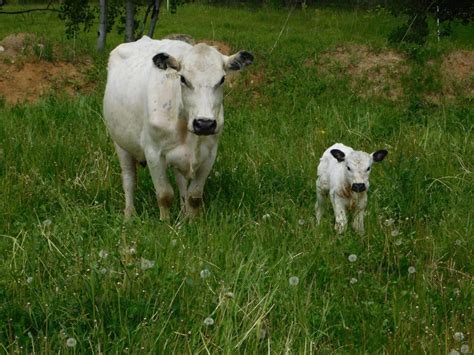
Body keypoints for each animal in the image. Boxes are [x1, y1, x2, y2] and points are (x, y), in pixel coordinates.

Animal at [102, 36, 254, 220]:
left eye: (222, 80)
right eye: (182, 79)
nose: (204, 123)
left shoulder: (210, 153)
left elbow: (194, 196)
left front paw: (193, 221)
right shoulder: (153, 153)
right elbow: (164, 195)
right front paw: (165, 223)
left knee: (181, 182)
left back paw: (183, 214)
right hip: (121, 144)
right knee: (129, 179)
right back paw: (129, 215)